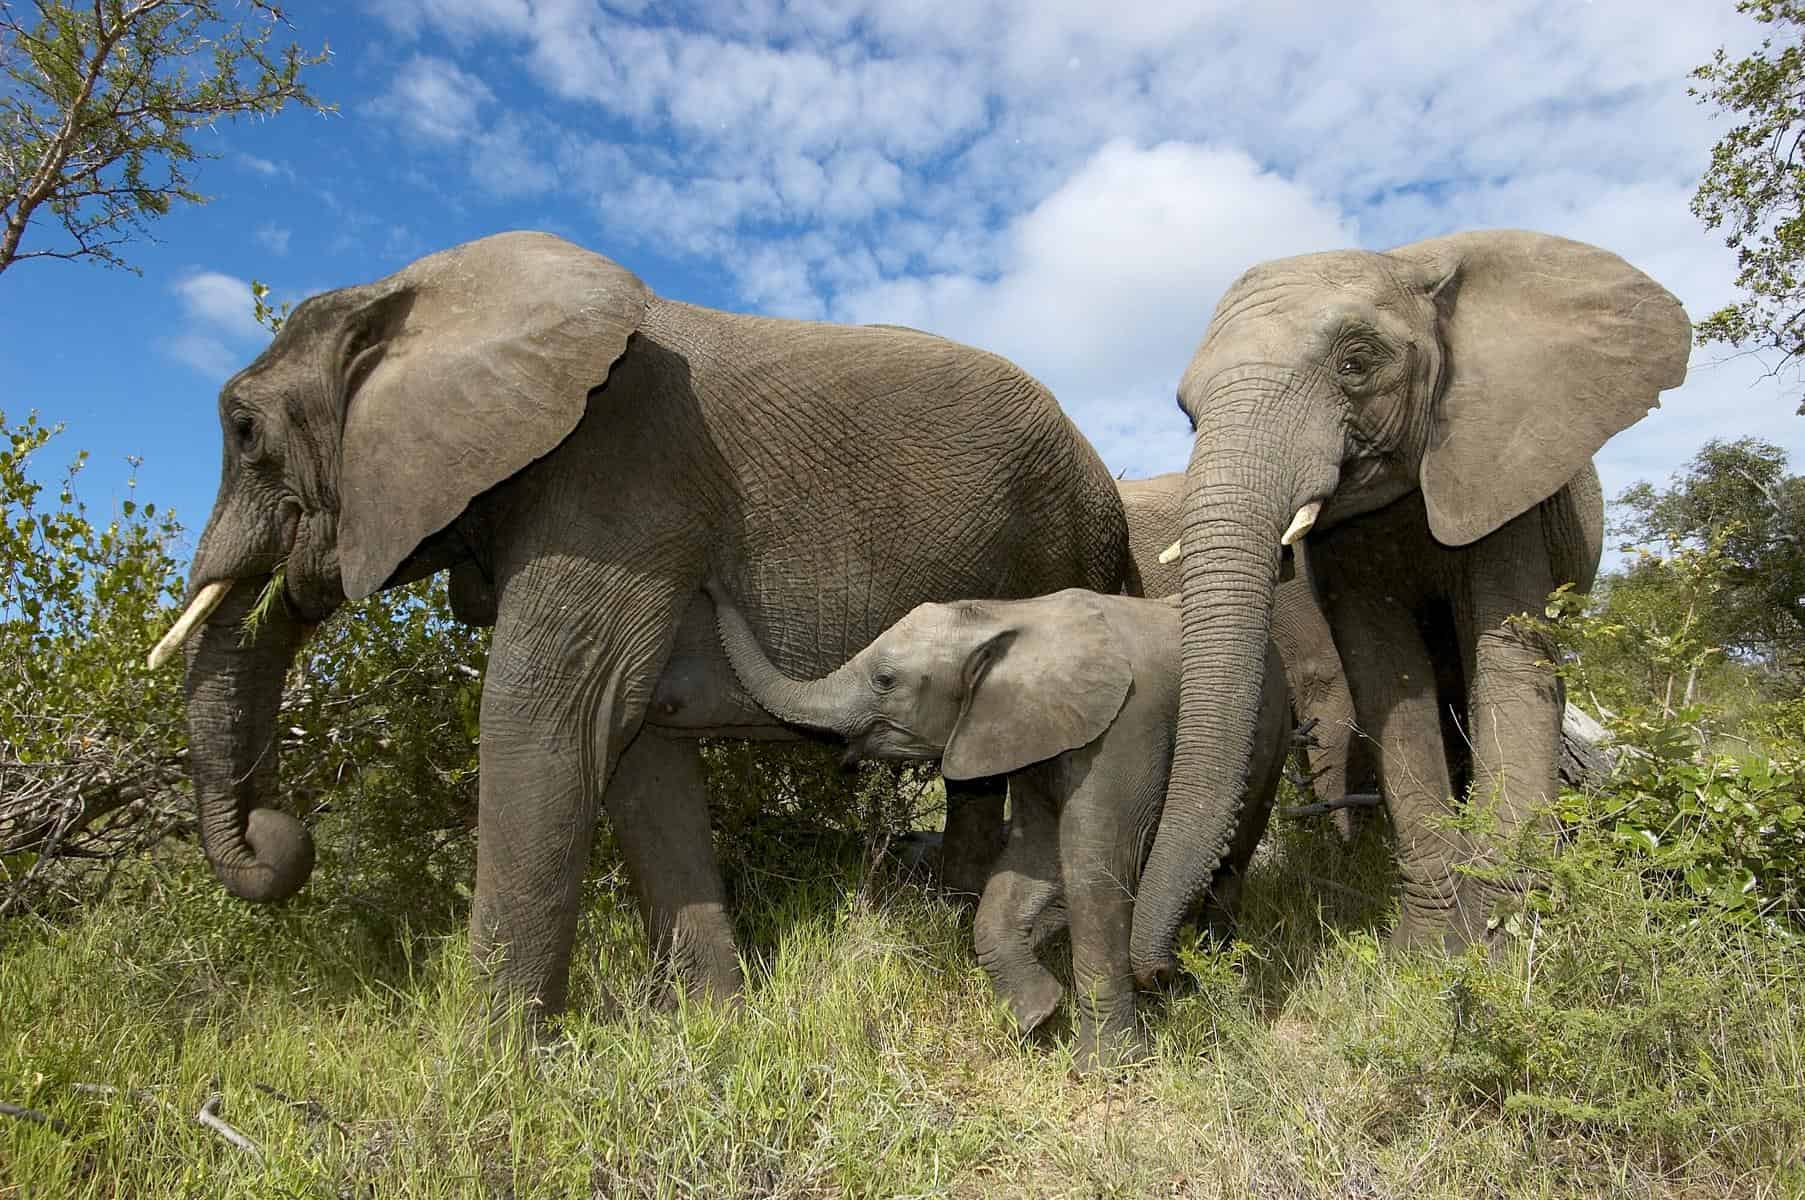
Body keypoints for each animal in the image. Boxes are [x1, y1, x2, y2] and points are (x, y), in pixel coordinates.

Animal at [146, 230, 1134, 1024]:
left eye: (244, 430)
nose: (278, 834)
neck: (409, 292)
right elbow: (634, 753)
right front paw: (716, 1024)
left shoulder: (616, 482)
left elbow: (544, 723)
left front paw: (493, 1067)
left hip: (1065, 546)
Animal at [703, 580, 1290, 1068]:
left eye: (884, 679)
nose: (711, 585)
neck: (1006, 615)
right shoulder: (1030, 730)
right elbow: (1033, 856)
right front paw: (1037, 1019)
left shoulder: (1125, 727)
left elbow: (1093, 863)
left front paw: (1108, 1070)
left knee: (1231, 857)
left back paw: (1206, 974)